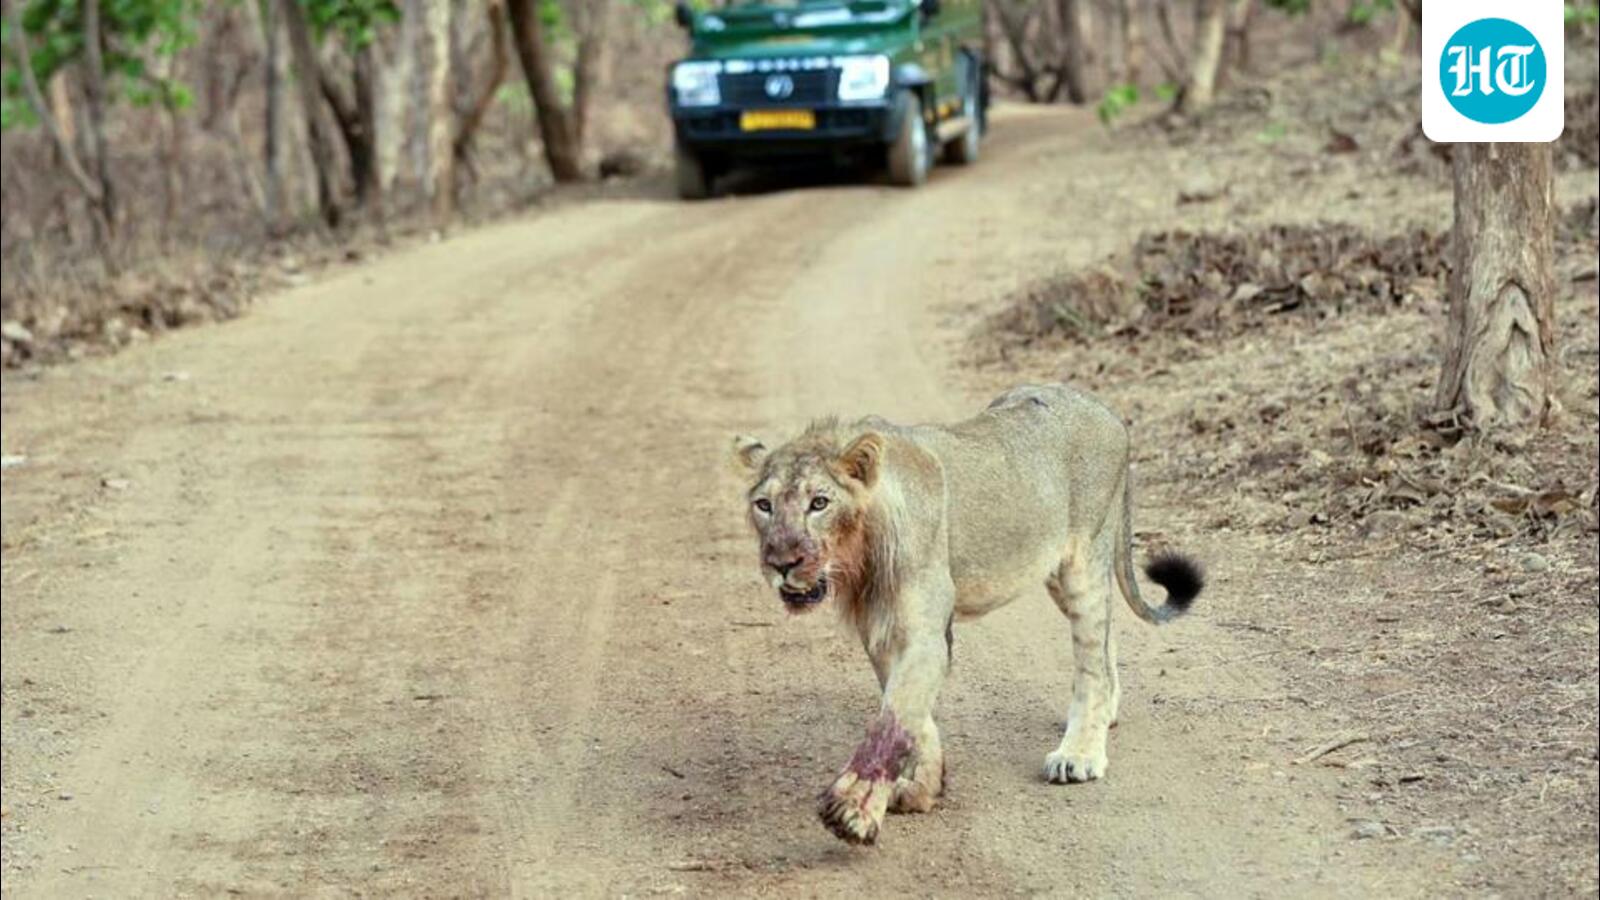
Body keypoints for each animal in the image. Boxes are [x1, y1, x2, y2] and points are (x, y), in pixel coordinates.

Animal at [732, 383, 1203, 845]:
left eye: (819, 502)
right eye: (764, 505)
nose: (781, 562)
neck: (861, 553)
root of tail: (1105, 409)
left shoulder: (923, 634)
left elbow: (892, 720)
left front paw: (854, 811)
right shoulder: (882, 632)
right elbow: (912, 718)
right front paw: (922, 788)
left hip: (1082, 562)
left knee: (1093, 663)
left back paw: (1079, 755)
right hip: (1053, 571)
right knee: (1107, 641)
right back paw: (1106, 717)